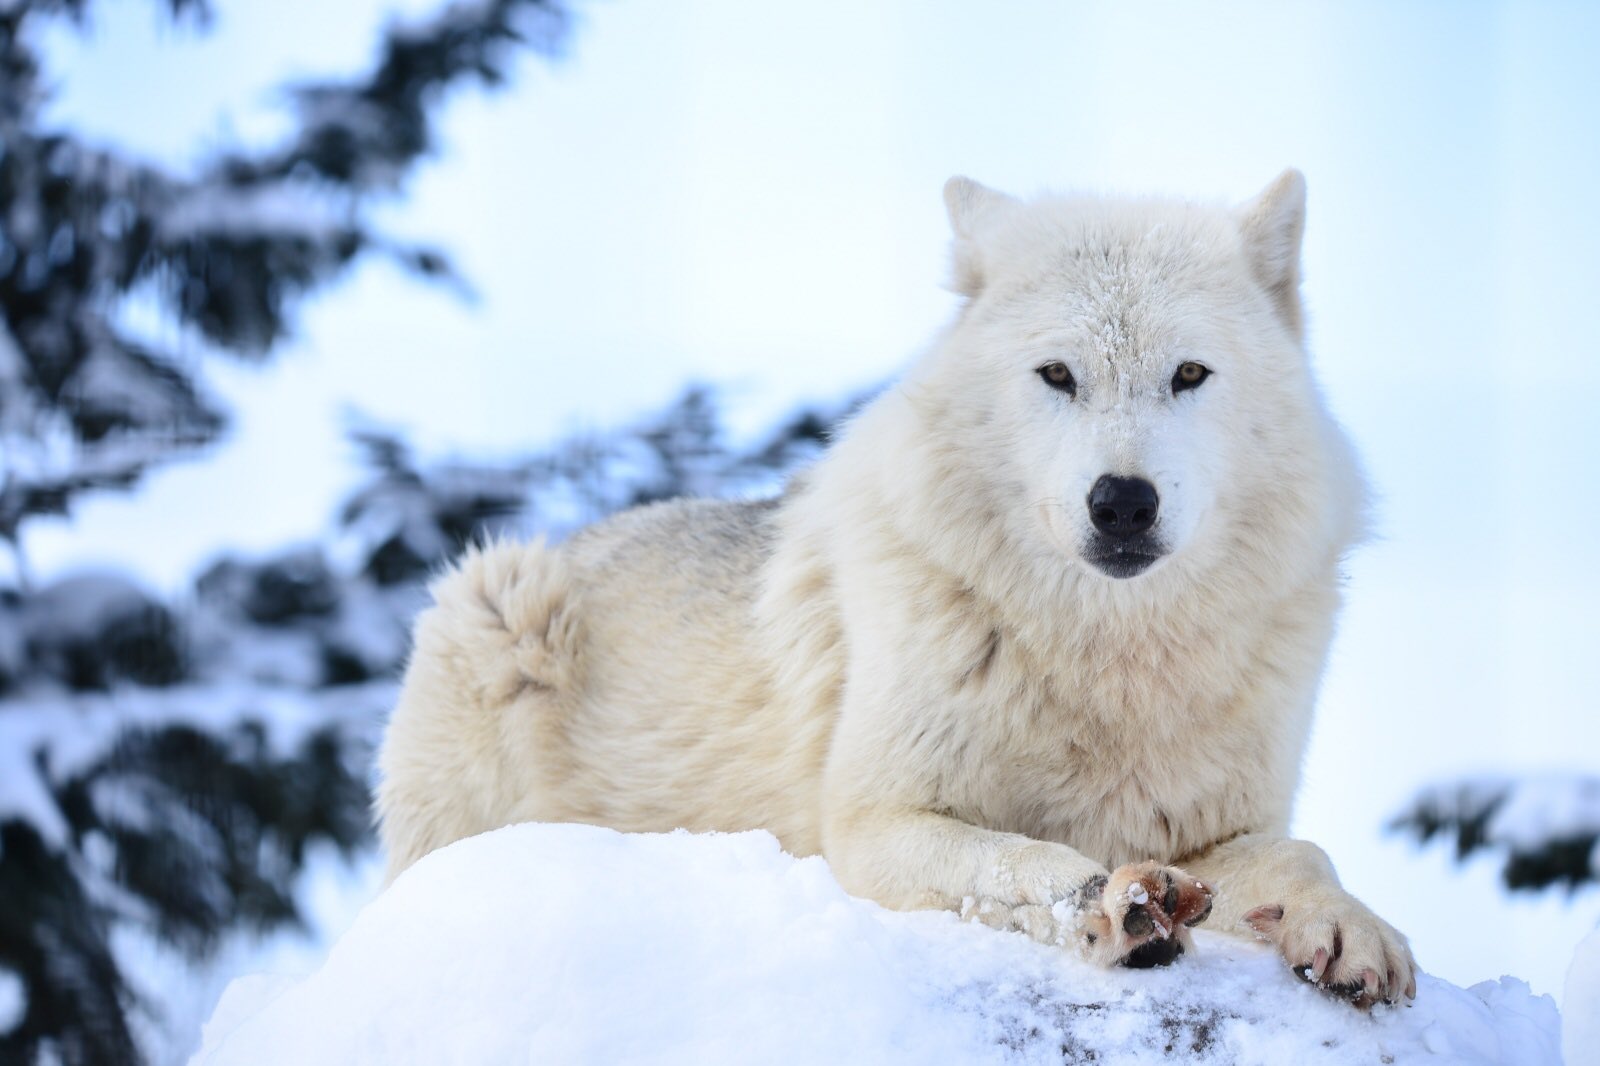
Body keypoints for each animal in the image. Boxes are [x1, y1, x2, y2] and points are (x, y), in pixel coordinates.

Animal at [380, 170, 1420, 998]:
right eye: (1057, 375)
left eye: (1190, 374)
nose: (1122, 503)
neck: (1106, 657)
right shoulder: (873, 822)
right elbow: (1023, 857)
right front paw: (1112, 904)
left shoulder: (1221, 833)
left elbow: (1303, 852)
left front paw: (1348, 928)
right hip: (490, 607)